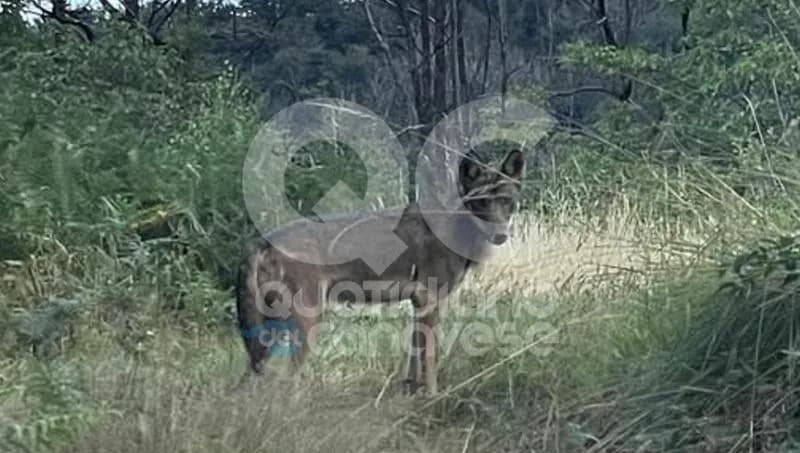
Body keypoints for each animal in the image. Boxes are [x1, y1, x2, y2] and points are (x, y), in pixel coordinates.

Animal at [235, 149, 525, 394]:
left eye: (507, 201)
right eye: (481, 202)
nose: (500, 235)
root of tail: (262, 241)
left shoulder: (418, 305)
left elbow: (414, 357)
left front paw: (411, 392)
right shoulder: (429, 300)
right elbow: (430, 359)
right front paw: (433, 398)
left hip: (267, 335)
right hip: (307, 323)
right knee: (286, 380)